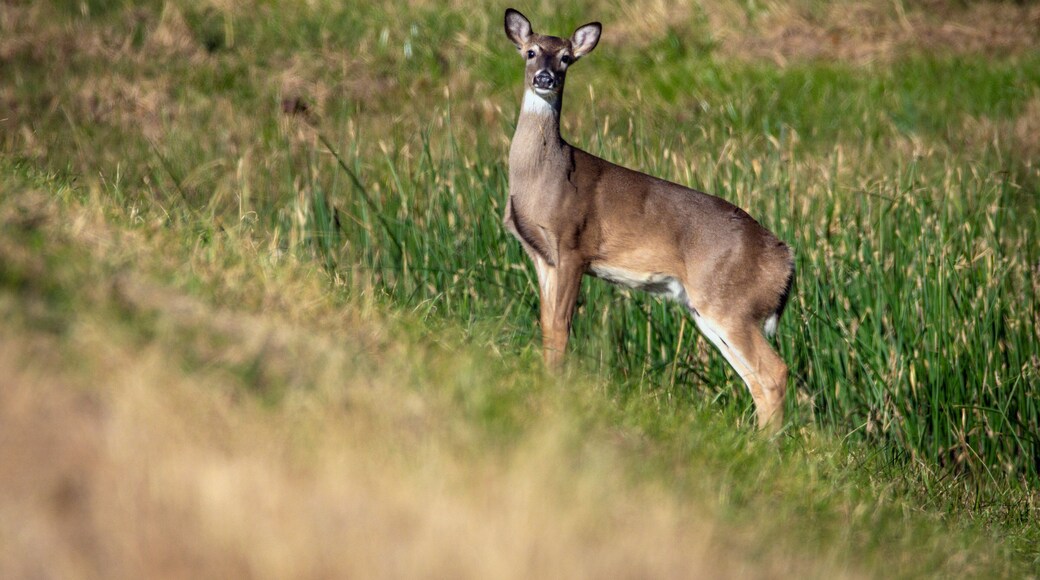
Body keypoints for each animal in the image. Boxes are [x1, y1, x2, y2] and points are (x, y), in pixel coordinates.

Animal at [501, 9, 796, 430]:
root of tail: (785, 257)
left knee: (774, 371)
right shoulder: (543, 256)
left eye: (566, 58)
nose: (545, 78)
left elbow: (560, 330)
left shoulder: (573, 246)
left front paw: (553, 397)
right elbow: (546, 328)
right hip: (709, 307)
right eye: (530, 51)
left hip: (730, 302)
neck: (543, 177)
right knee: (754, 378)